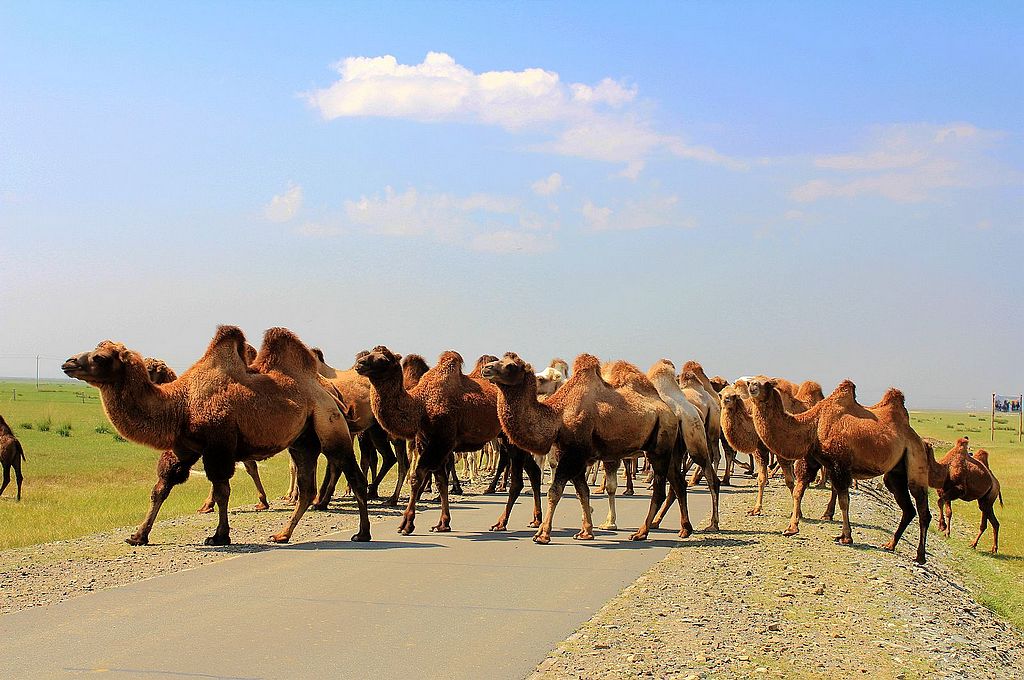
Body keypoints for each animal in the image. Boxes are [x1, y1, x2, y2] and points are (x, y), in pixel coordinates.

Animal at [354, 348, 501, 532]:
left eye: (383, 359)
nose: (359, 364)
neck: (420, 405)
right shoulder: (427, 441)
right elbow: (440, 480)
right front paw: (443, 523)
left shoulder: (442, 441)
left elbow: (417, 477)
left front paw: (406, 524)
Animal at [479, 352, 688, 544]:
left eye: (511, 365)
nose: (486, 369)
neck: (558, 416)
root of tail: (672, 413)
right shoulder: (575, 456)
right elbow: (583, 492)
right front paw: (586, 532)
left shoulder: (573, 456)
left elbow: (555, 492)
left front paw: (542, 534)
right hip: (667, 448)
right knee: (678, 482)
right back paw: (685, 529)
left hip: (659, 447)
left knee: (660, 490)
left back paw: (641, 532)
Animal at [745, 376, 937, 561]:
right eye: (752, 382)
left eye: (767, 383)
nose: (752, 386)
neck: (813, 423)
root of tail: (922, 441)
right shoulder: (813, 459)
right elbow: (798, 491)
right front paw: (792, 527)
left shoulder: (840, 464)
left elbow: (844, 501)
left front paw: (846, 536)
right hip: (895, 473)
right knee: (908, 509)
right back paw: (890, 544)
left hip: (916, 459)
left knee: (922, 508)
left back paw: (920, 556)